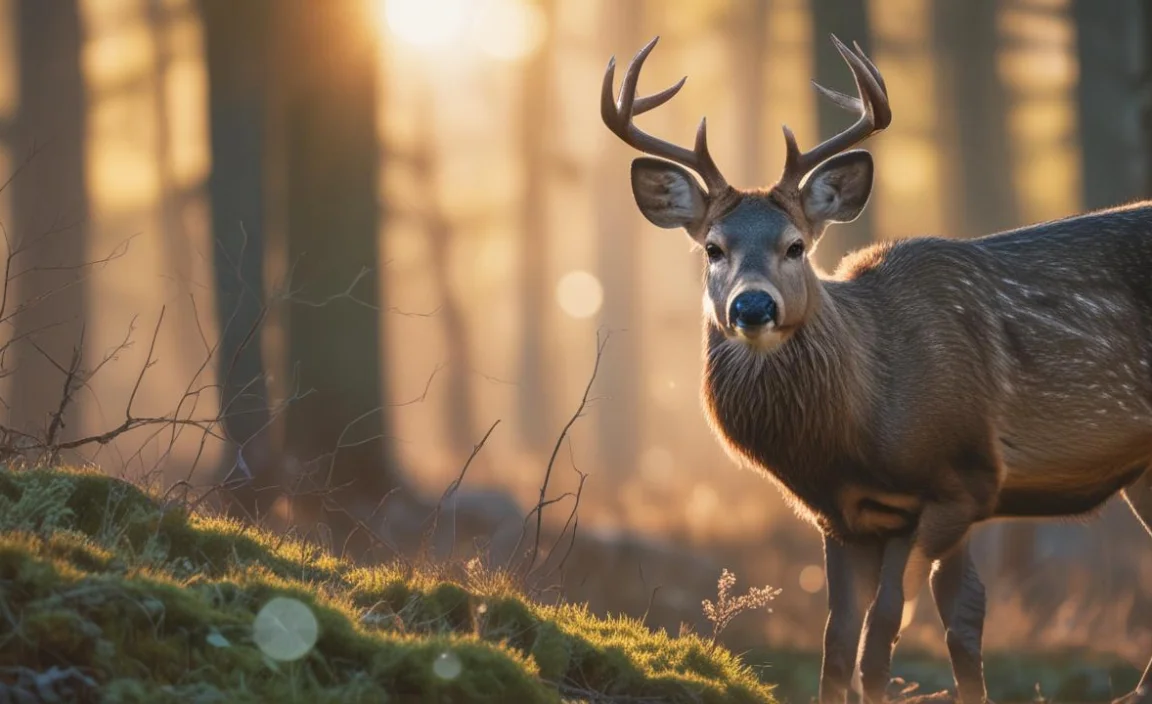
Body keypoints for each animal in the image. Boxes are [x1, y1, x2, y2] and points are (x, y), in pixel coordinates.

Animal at [600, 34, 1152, 704]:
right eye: (712, 247)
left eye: (796, 246)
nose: (752, 306)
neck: (861, 431)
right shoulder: (843, 519)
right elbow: (853, 641)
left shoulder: (960, 480)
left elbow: (885, 633)